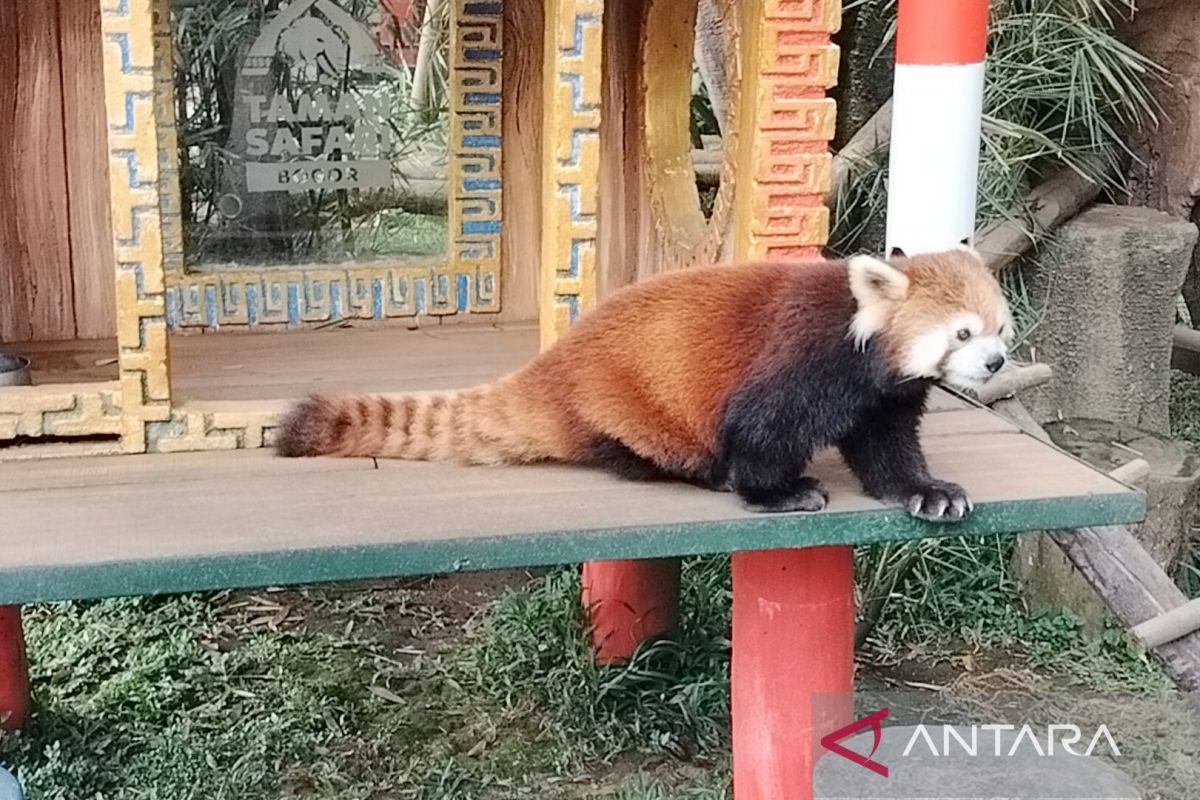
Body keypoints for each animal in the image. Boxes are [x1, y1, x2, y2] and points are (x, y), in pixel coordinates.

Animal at [274, 250, 1012, 525]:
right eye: (962, 334)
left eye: (1001, 328)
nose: (997, 363)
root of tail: (554, 362)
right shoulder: (803, 358)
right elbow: (760, 428)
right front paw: (779, 490)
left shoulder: (882, 394)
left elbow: (888, 446)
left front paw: (926, 491)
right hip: (628, 399)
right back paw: (699, 473)